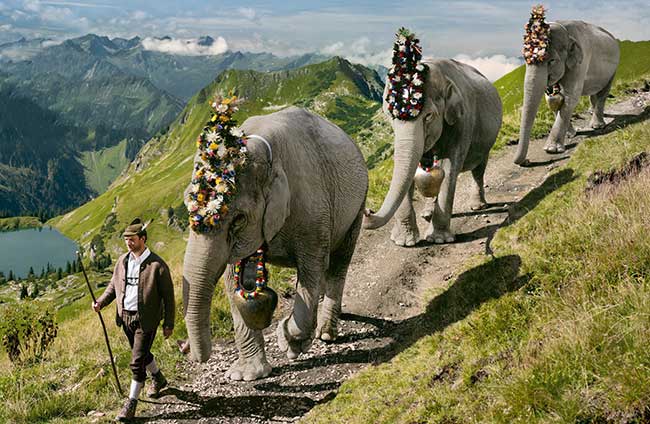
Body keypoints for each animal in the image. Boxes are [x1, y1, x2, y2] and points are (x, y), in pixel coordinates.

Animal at [181, 106, 370, 380]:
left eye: (238, 218)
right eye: (187, 204)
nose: (185, 349)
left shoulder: (313, 209)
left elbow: (312, 267)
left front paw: (289, 341)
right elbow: (231, 280)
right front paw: (247, 375)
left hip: (358, 205)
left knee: (338, 263)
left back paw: (325, 333)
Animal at [362, 32, 498, 245]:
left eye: (428, 116)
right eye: (390, 115)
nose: (367, 211)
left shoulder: (462, 122)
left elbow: (449, 170)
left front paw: (439, 239)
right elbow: (406, 170)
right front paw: (404, 241)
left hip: (485, 142)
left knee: (478, 170)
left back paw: (478, 206)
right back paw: (427, 213)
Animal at [512, 9, 616, 166]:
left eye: (551, 61)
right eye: (525, 58)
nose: (527, 161)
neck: (565, 29)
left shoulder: (581, 61)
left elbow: (570, 98)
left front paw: (551, 149)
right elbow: (552, 100)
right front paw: (570, 134)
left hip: (613, 70)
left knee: (603, 94)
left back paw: (597, 125)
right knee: (594, 94)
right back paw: (592, 113)